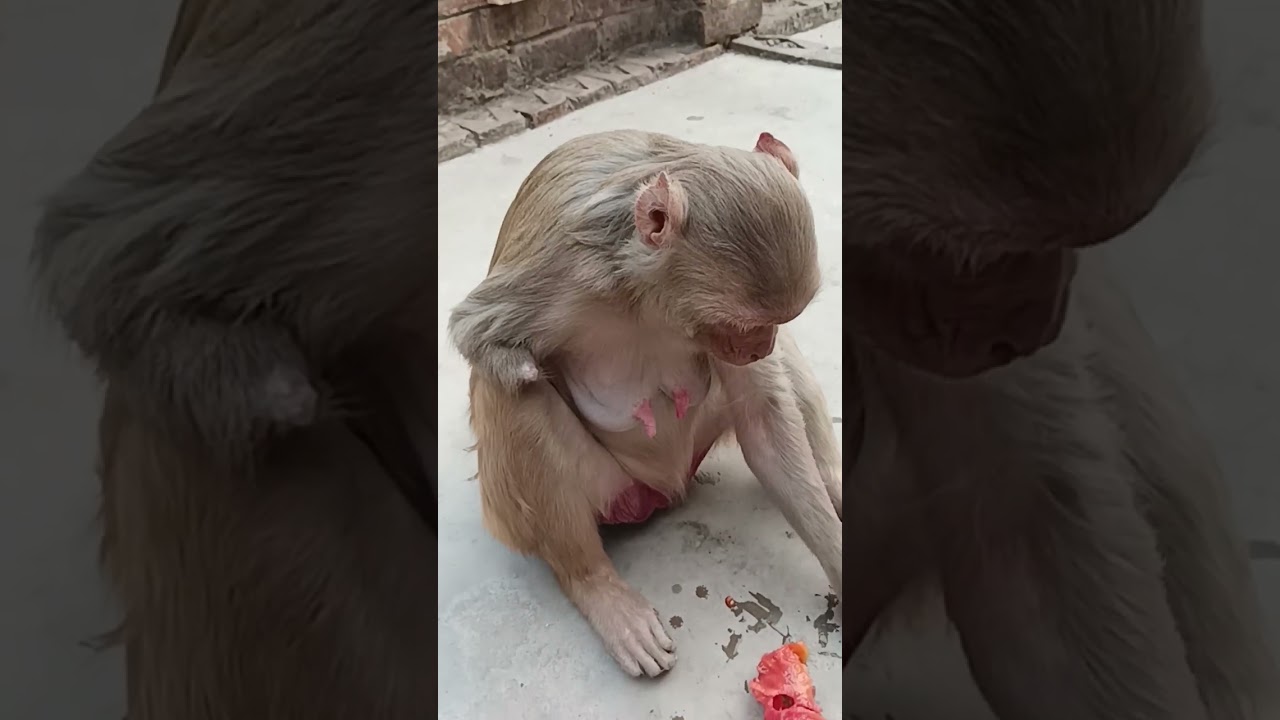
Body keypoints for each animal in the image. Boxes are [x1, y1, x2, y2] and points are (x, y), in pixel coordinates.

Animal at [447, 129, 843, 678]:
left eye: (772, 321)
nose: (760, 346)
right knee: (509, 394)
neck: (649, 296)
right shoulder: (558, 272)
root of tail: (660, 492)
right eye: (745, 323)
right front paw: (519, 363)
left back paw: (832, 479)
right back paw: (597, 586)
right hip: (604, 489)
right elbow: (478, 336)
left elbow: (764, 421)